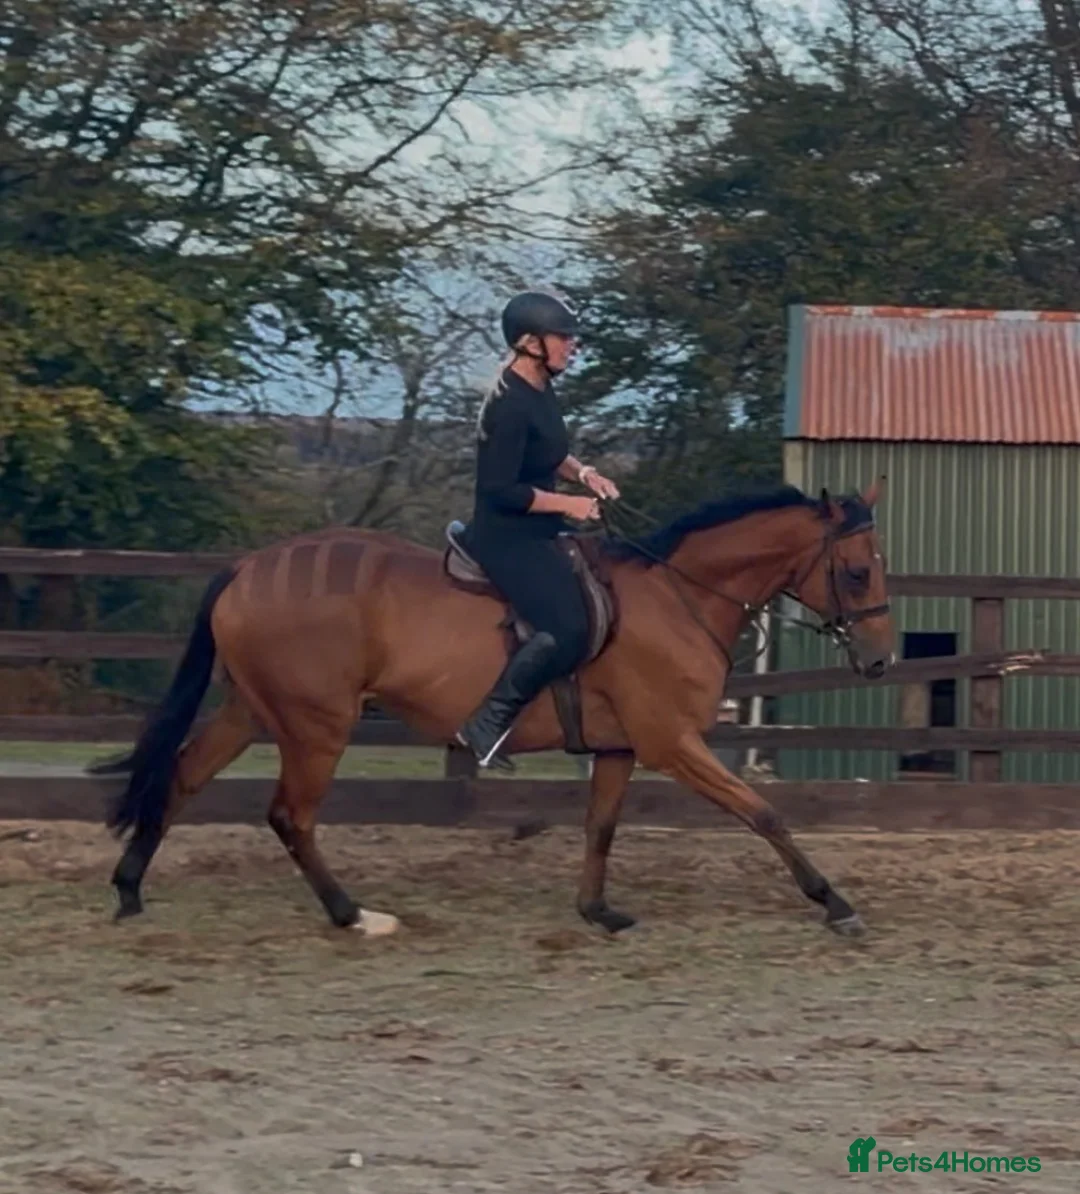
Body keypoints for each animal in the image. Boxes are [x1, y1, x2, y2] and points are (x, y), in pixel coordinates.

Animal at [94, 480, 895, 938]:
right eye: (858, 572)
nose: (882, 660)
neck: (679, 594)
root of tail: (247, 567)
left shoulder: (621, 748)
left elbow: (602, 827)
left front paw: (597, 911)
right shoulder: (671, 742)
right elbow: (763, 814)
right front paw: (835, 903)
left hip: (254, 712)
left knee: (182, 778)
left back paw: (130, 889)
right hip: (317, 726)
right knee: (291, 816)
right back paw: (353, 914)